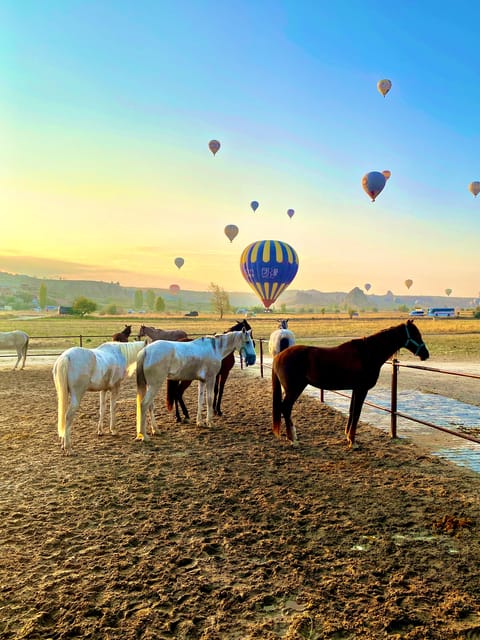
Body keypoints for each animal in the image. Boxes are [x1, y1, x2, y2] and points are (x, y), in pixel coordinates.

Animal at [272, 320, 430, 450]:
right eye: (416, 335)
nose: (426, 354)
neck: (368, 354)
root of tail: (279, 356)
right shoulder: (361, 389)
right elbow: (357, 413)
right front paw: (353, 442)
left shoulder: (355, 389)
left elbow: (352, 412)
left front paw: (348, 437)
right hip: (294, 389)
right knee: (285, 408)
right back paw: (293, 440)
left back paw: (292, 437)